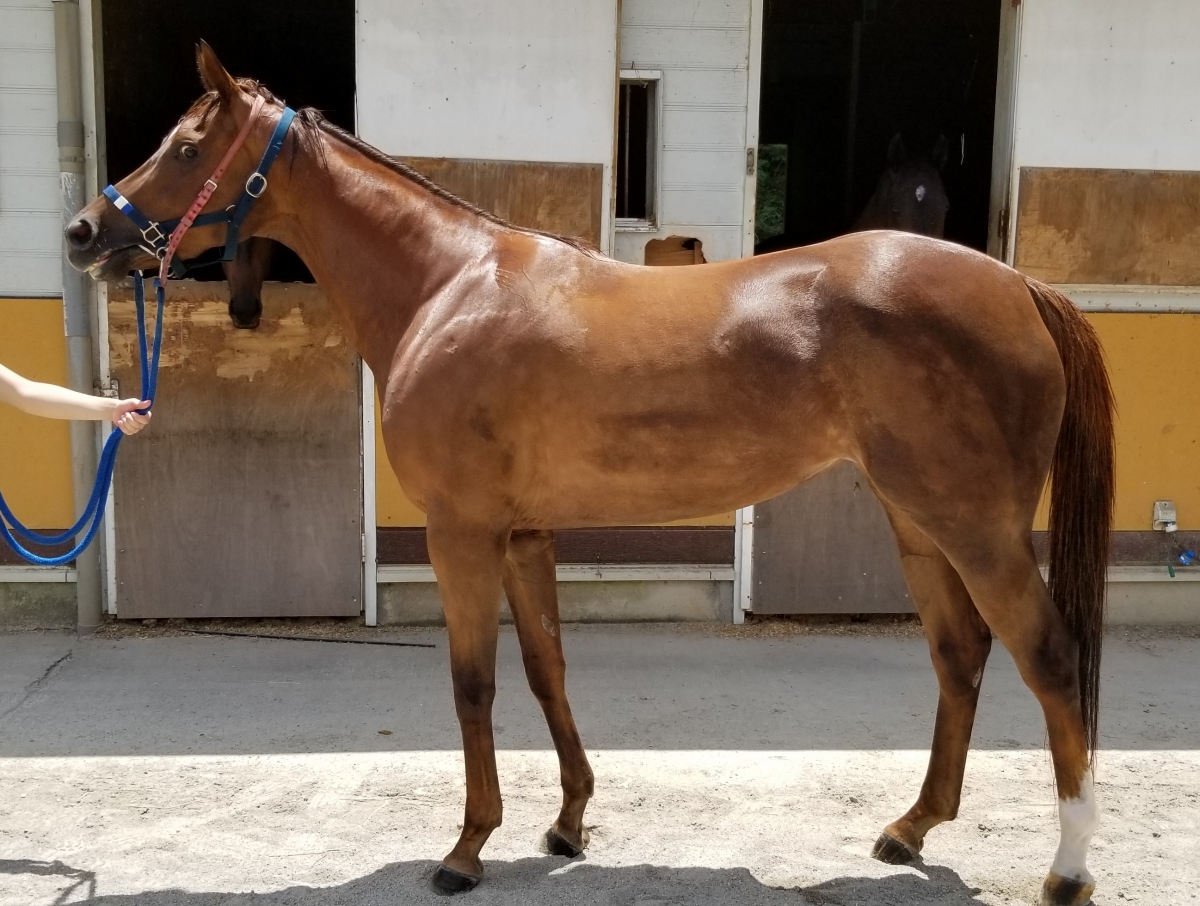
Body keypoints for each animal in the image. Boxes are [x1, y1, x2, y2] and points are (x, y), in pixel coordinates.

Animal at [66, 44, 1114, 906]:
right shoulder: (525, 533)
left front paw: (466, 849)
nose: (82, 233)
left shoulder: (462, 532)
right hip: (918, 521)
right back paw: (910, 829)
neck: (449, 288)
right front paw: (567, 824)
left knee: (1050, 659)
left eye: (187, 147)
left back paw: (1067, 871)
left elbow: (474, 683)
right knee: (960, 654)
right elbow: (547, 670)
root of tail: (1018, 285)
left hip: (975, 526)